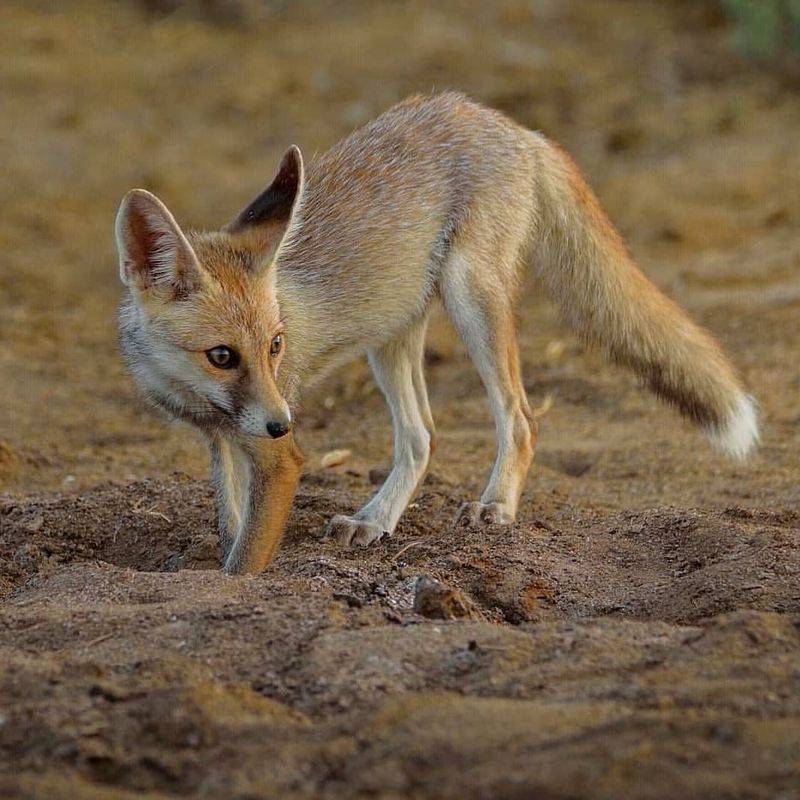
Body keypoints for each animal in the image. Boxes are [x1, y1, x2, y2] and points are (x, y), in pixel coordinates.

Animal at [115, 90, 760, 576]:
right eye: (222, 356)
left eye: (276, 346)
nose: (283, 423)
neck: (188, 391)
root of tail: (507, 123)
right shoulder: (221, 439)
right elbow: (231, 525)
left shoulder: (278, 458)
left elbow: (245, 560)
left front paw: (232, 582)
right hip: (391, 335)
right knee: (422, 436)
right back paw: (375, 521)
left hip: (471, 297)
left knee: (520, 419)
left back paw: (495, 506)